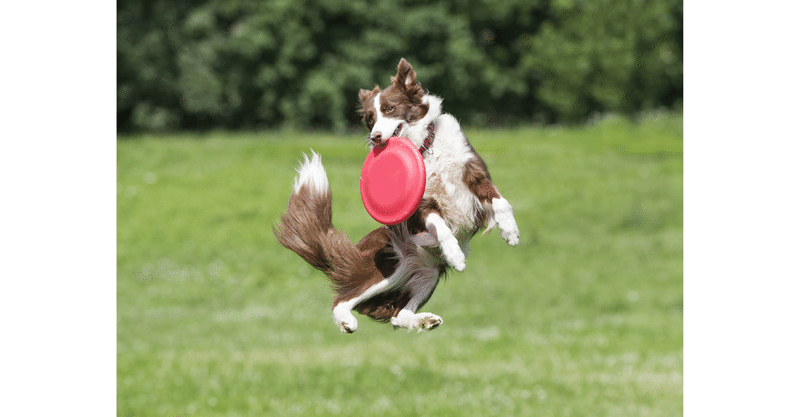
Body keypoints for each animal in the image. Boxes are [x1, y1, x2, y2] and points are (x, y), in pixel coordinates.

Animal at [274, 58, 520, 332]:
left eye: (390, 108)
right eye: (370, 119)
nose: (375, 137)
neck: (425, 147)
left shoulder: (475, 175)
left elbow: (500, 202)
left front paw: (511, 232)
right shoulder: (422, 206)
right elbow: (442, 227)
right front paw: (455, 255)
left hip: (428, 274)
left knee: (398, 314)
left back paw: (424, 320)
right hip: (389, 260)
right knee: (344, 299)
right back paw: (347, 321)